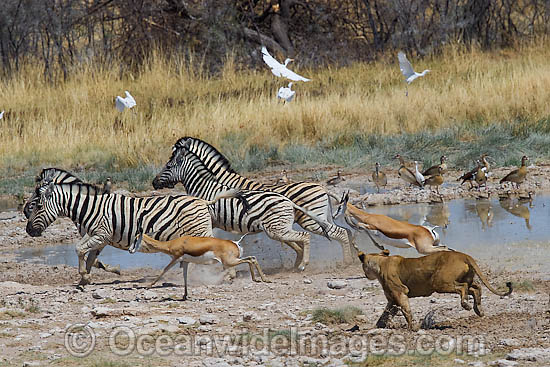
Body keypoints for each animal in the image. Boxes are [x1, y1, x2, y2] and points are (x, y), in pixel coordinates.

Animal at [25, 178, 246, 294]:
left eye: (37, 206)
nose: (28, 231)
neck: (90, 208)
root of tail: (203, 201)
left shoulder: (101, 234)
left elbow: (79, 249)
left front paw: (84, 277)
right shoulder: (99, 237)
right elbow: (89, 257)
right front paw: (84, 280)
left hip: (198, 231)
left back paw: (226, 275)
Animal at [153, 137, 356, 264]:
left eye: (168, 165)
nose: (154, 183)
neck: (211, 183)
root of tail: (323, 187)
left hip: (311, 220)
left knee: (338, 233)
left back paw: (346, 261)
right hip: (321, 217)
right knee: (344, 232)